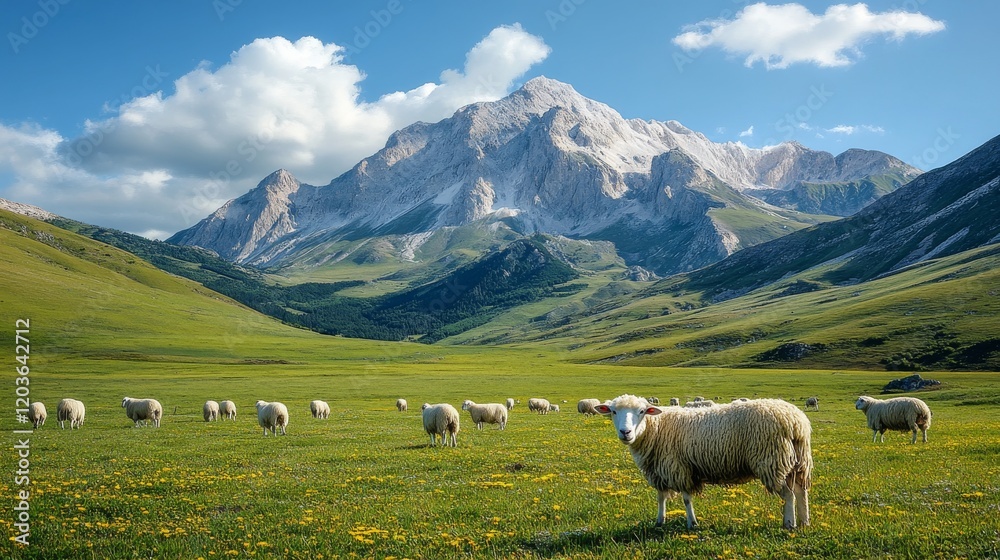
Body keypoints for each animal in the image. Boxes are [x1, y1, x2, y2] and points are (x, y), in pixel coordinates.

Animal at [596, 394, 812, 530]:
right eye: (613, 412)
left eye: (641, 411)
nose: (625, 432)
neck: (656, 428)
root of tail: (797, 422)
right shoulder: (659, 469)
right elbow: (660, 497)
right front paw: (659, 521)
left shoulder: (678, 468)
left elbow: (686, 499)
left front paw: (692, 524)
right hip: (795, 462)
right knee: (800, 491)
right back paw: (804, 522)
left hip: (771, 460)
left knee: (789, 494)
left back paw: (789, 524)